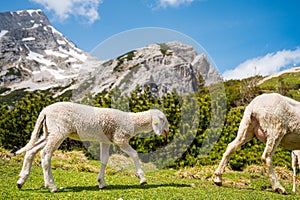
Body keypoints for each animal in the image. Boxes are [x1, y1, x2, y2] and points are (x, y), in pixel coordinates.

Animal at [14, 101, 169, 192]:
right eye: (162, 119)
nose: (167, 131)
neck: (131, 121)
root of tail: (44, 111)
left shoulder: (106, 140)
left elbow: (104, 160)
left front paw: (101, 182)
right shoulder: (119, 138)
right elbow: (135, 154)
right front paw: (142, 179)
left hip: (49, 132)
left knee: (31, 151)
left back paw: (21, 180)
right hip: (59, 130)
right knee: (45, 154)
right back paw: (51, 186)